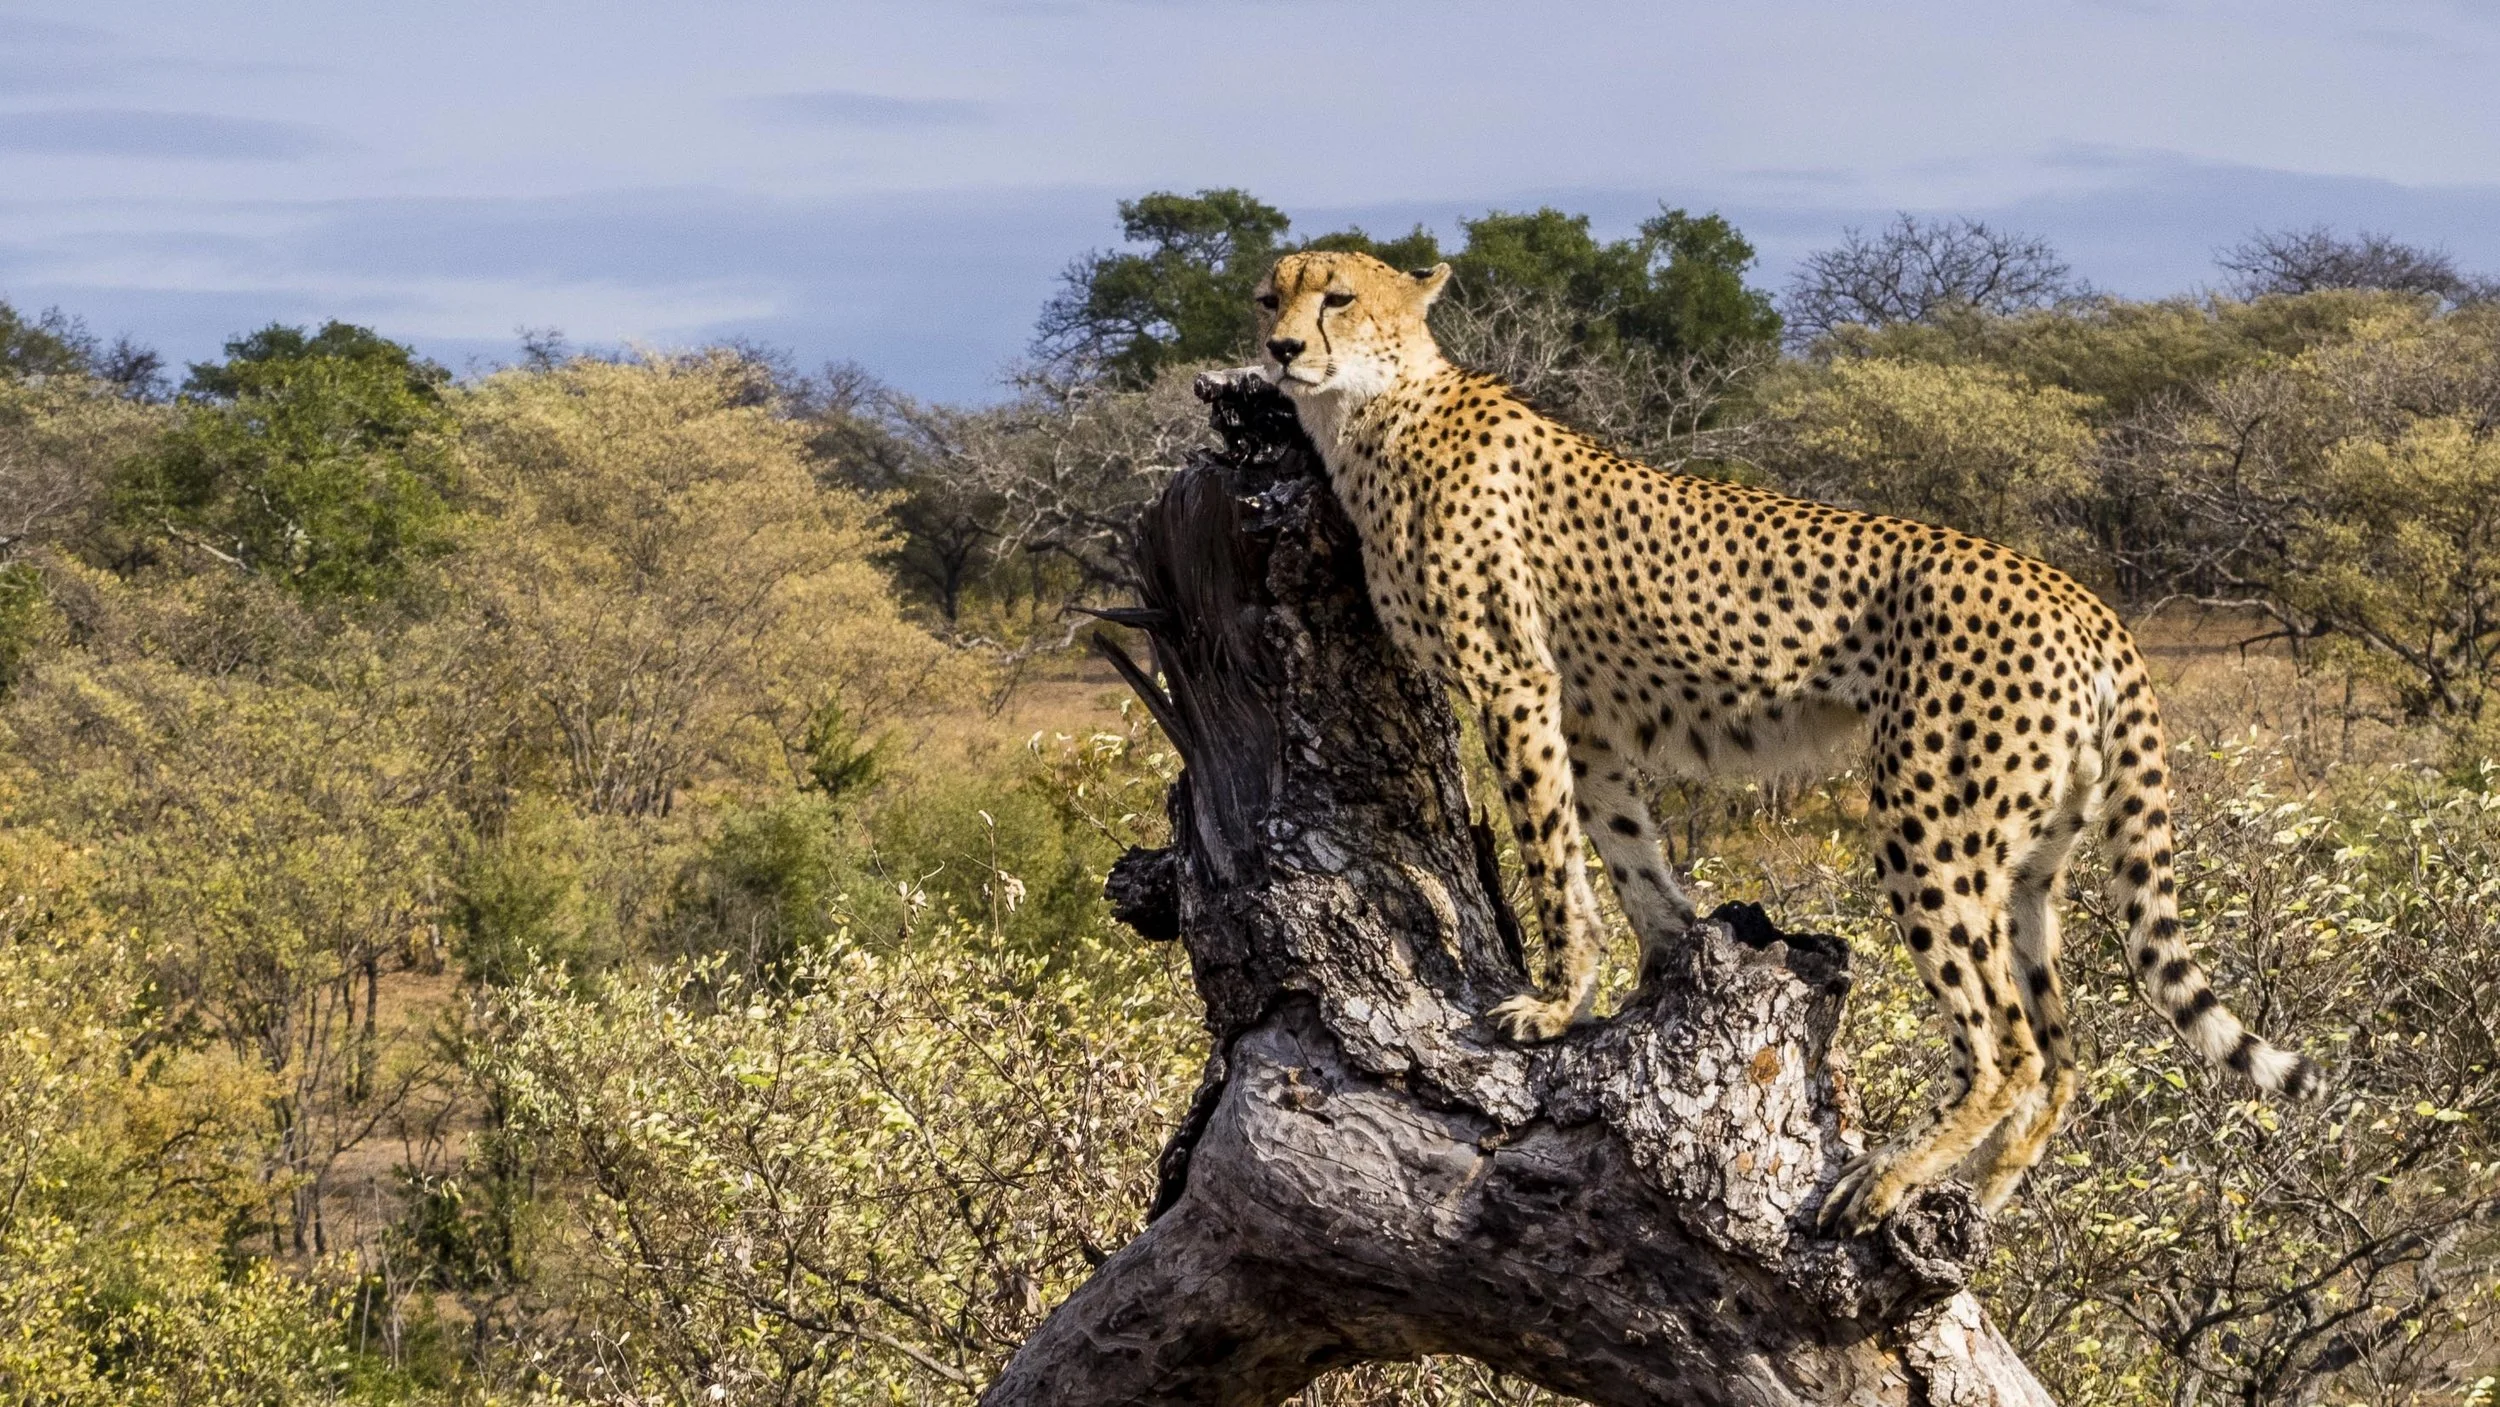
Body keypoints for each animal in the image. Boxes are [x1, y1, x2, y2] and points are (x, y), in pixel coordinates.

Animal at [1250, 249, 2325, 1233]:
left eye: (1336, 297)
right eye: (1270, 297)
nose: (1281, 349)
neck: (1375, 410)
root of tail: (2083, 597)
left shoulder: (1514, 680)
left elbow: (1552, 858)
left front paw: (1553, 1005)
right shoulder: (1583, 715)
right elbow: (1623, 851)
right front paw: (1665, 962)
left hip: (1928, 817)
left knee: (2008, 1044)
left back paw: (1890, 1174)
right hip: (2028, 857)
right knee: (2062, 1046)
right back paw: (1985, 1188)